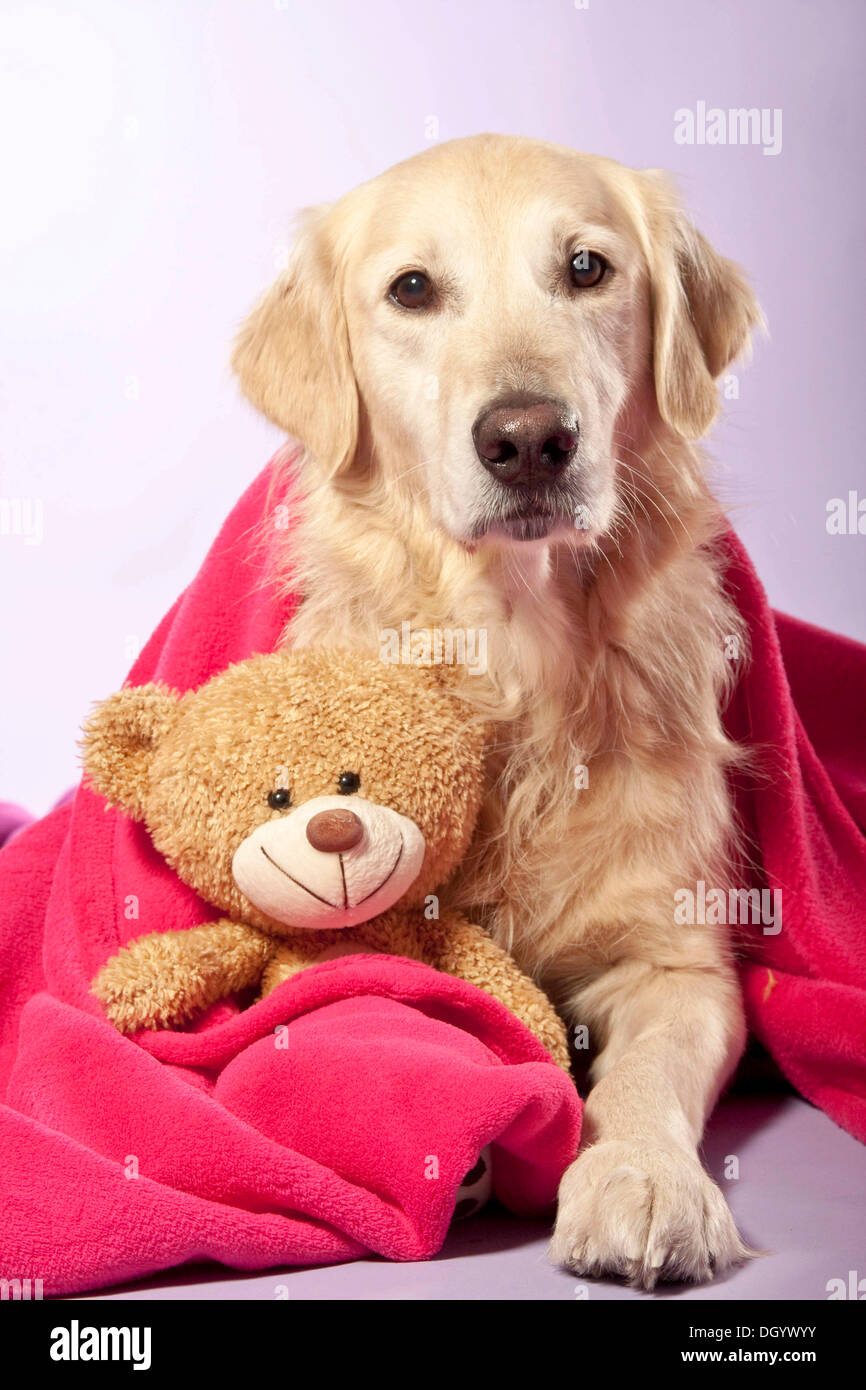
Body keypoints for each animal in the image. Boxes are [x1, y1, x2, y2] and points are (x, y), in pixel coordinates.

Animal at [232, 135, 767, 1284]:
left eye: (586, 268)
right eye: (412, 289)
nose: (527, 439)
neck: (517, 653)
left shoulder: (679, 961)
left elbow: (646, 1074)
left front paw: (642, 1178)